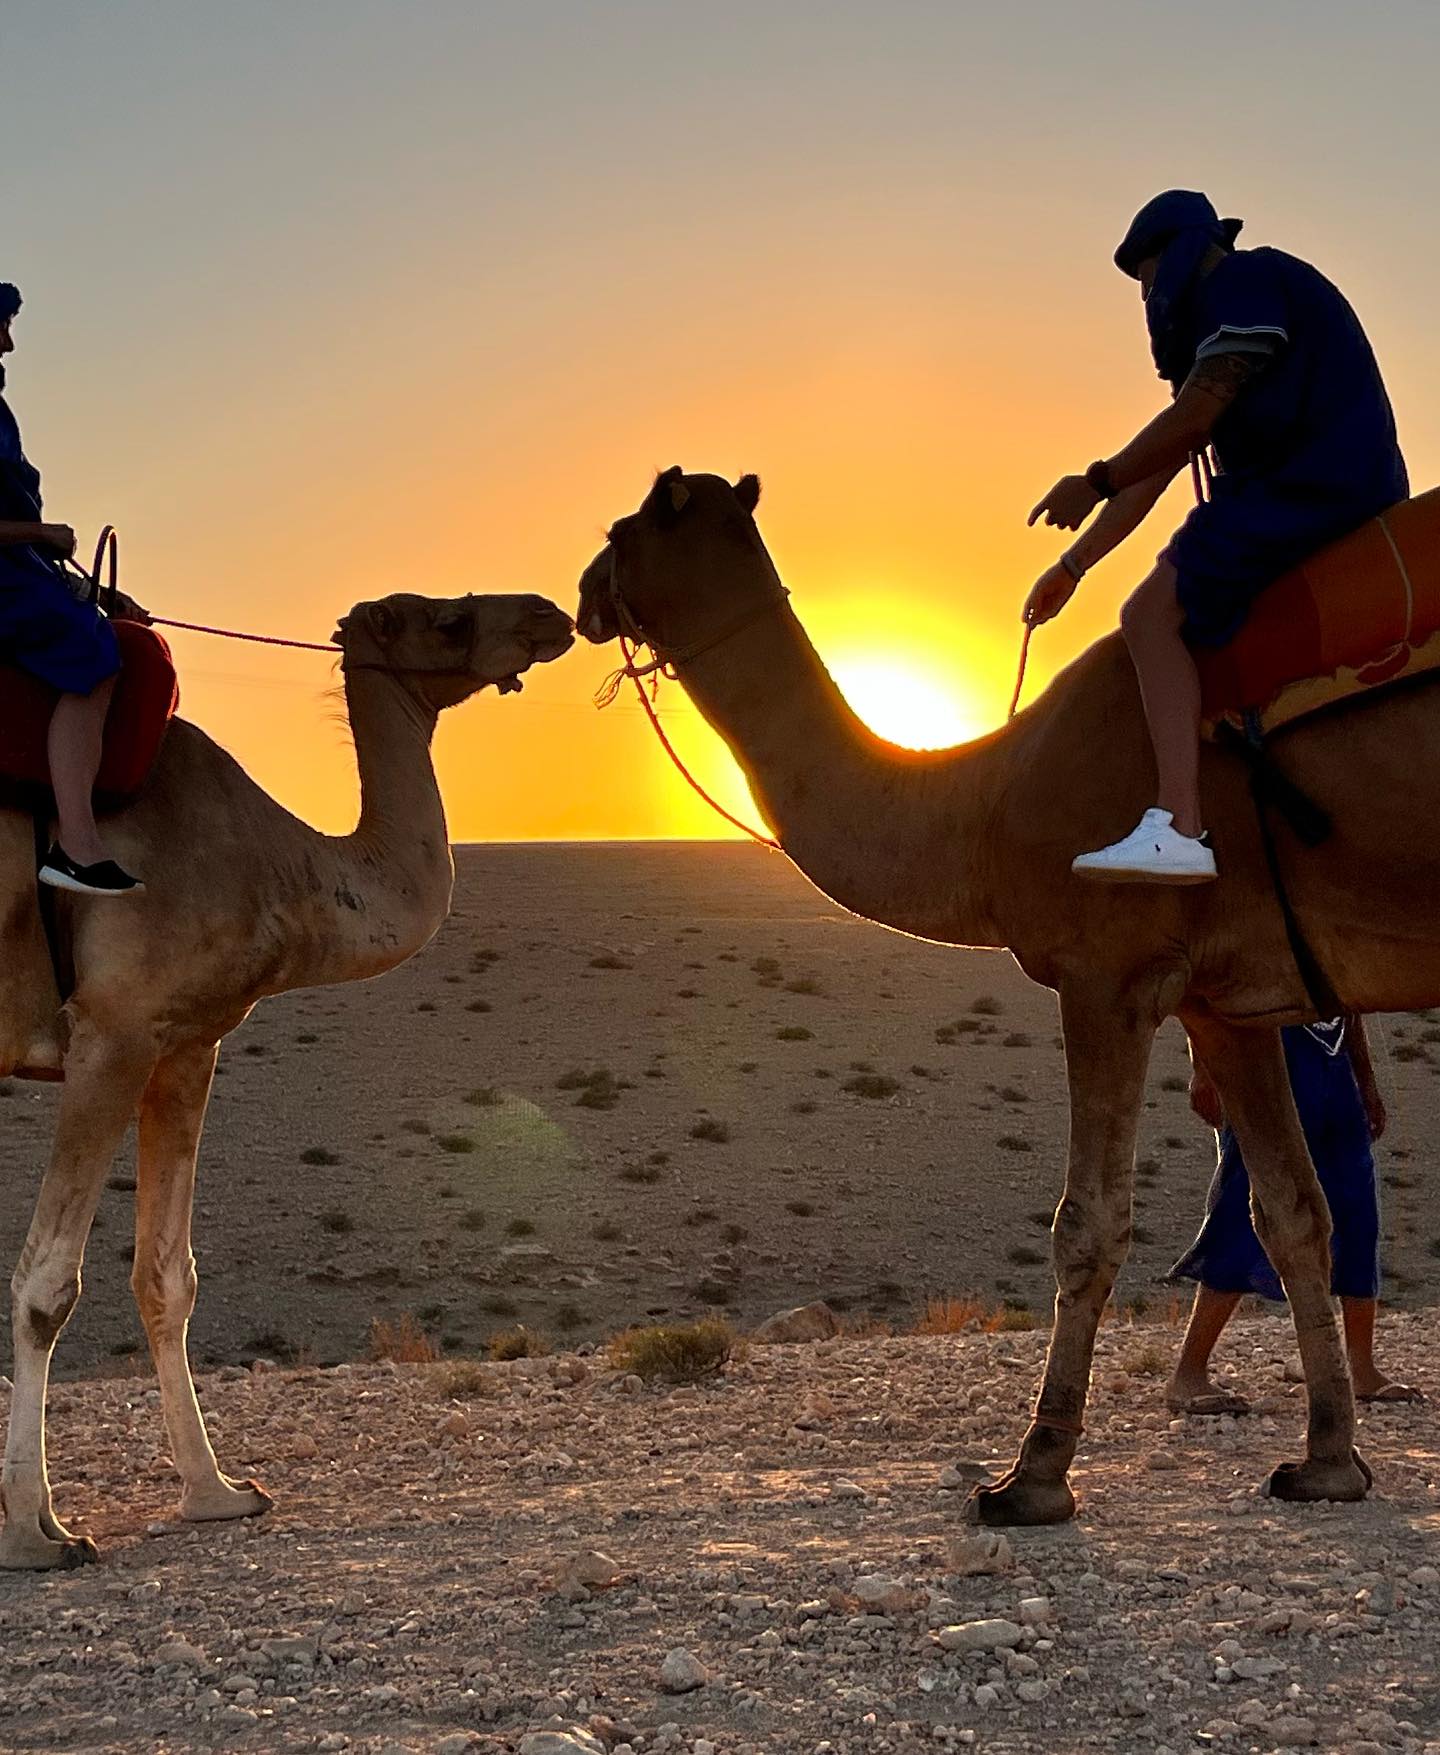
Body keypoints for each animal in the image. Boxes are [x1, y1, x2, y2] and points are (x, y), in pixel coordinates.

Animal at [0, 590, 573, 1568]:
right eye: (444, 617)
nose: (548, 613)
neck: (275, 867)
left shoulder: (187, 1045)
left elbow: (166, 1278)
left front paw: (218, 1493)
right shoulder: (112, 1034)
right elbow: (46, 1286)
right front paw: (34, 1531)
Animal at [577, 466, 1438, 1525]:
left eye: (623, 530)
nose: (582, 594)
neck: (986, 801)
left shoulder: (1107, 973)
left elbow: (1088, 1224)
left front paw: (1032, 1476)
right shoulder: (1227, 1002)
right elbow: (1293, 1213)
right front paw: (1327, 1462)